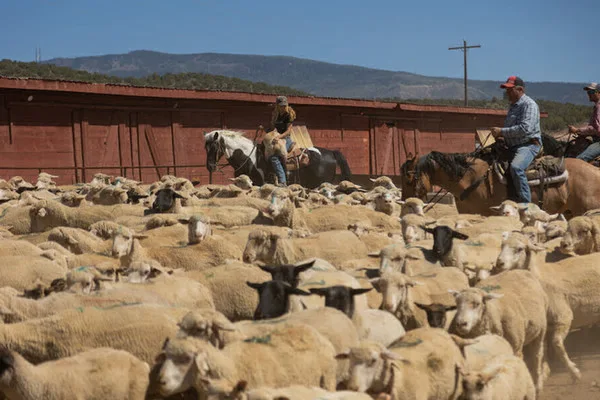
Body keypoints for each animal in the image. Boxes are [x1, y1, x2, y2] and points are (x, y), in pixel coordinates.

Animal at [204, 130, 354, 189]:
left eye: (214, 146)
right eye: (205, 147)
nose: (210, 166)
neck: (249, 158)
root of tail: (331, 152)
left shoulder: (259, 183)